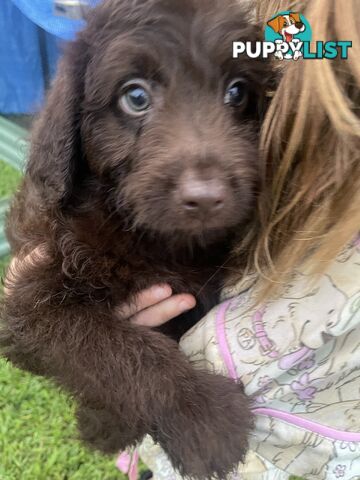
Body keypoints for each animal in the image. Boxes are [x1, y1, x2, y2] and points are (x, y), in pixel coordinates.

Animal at [0, 1, 270, 478]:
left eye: (237, 92)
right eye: (136, 97)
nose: (207, 197)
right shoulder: (29, 302)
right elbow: (112, 345)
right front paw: (203, 418)